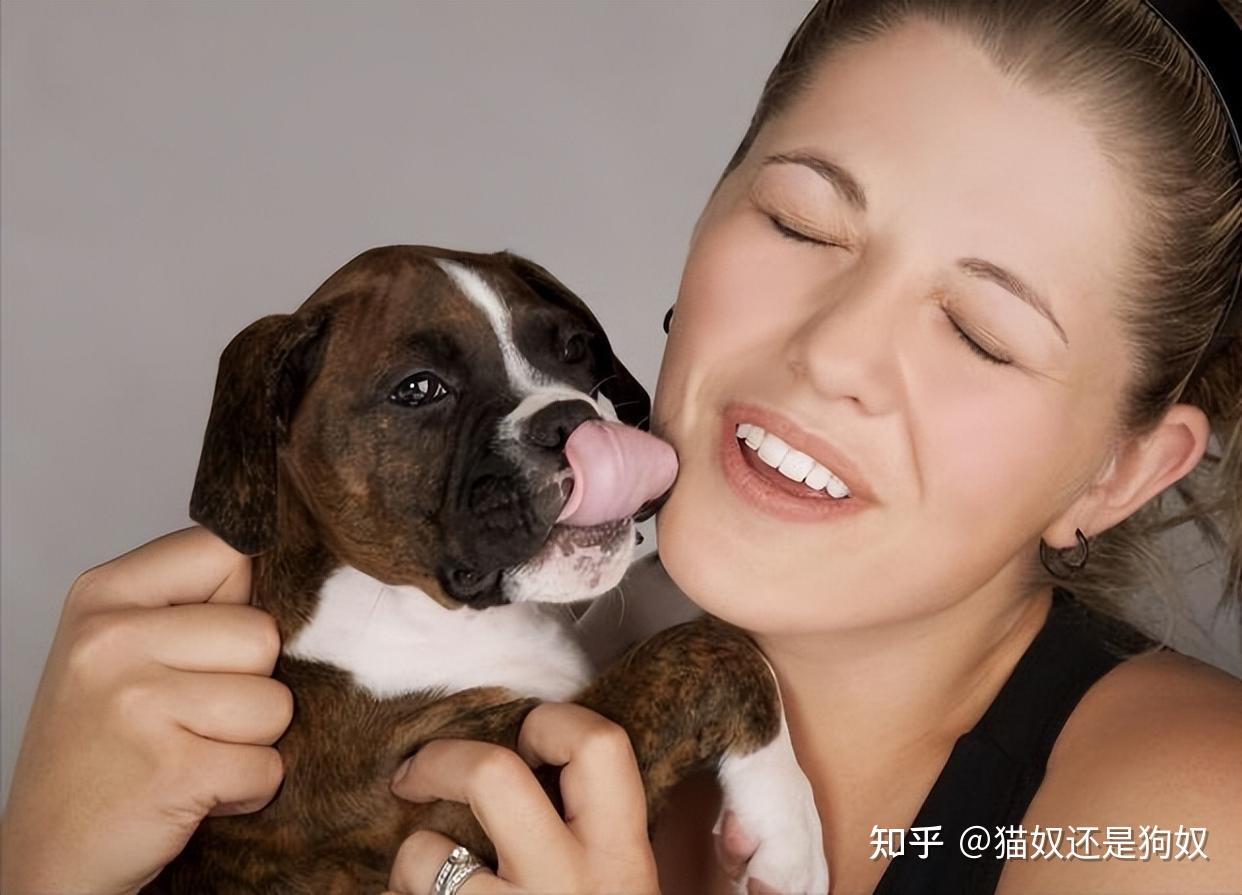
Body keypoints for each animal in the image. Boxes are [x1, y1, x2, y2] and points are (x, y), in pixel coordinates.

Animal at [147, 244, 824, 893]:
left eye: (574, 349)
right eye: (420, 389)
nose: (571, 418)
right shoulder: (482, 797)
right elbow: (705, 653)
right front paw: (789, 836)